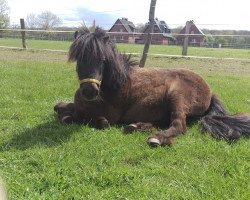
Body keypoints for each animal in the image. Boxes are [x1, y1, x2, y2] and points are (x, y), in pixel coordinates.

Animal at [53, 27, 249, 147]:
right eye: (79, 59)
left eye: (102, 60)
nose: (89, 91)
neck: (116, 84)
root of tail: (210, 91)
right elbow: (59, 106)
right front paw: (66, 113)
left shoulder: (108, 113)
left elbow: (80, 115)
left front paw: (91, 120)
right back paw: (137, 126)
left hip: (177, 97)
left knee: (179, 126)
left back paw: (156, 138)